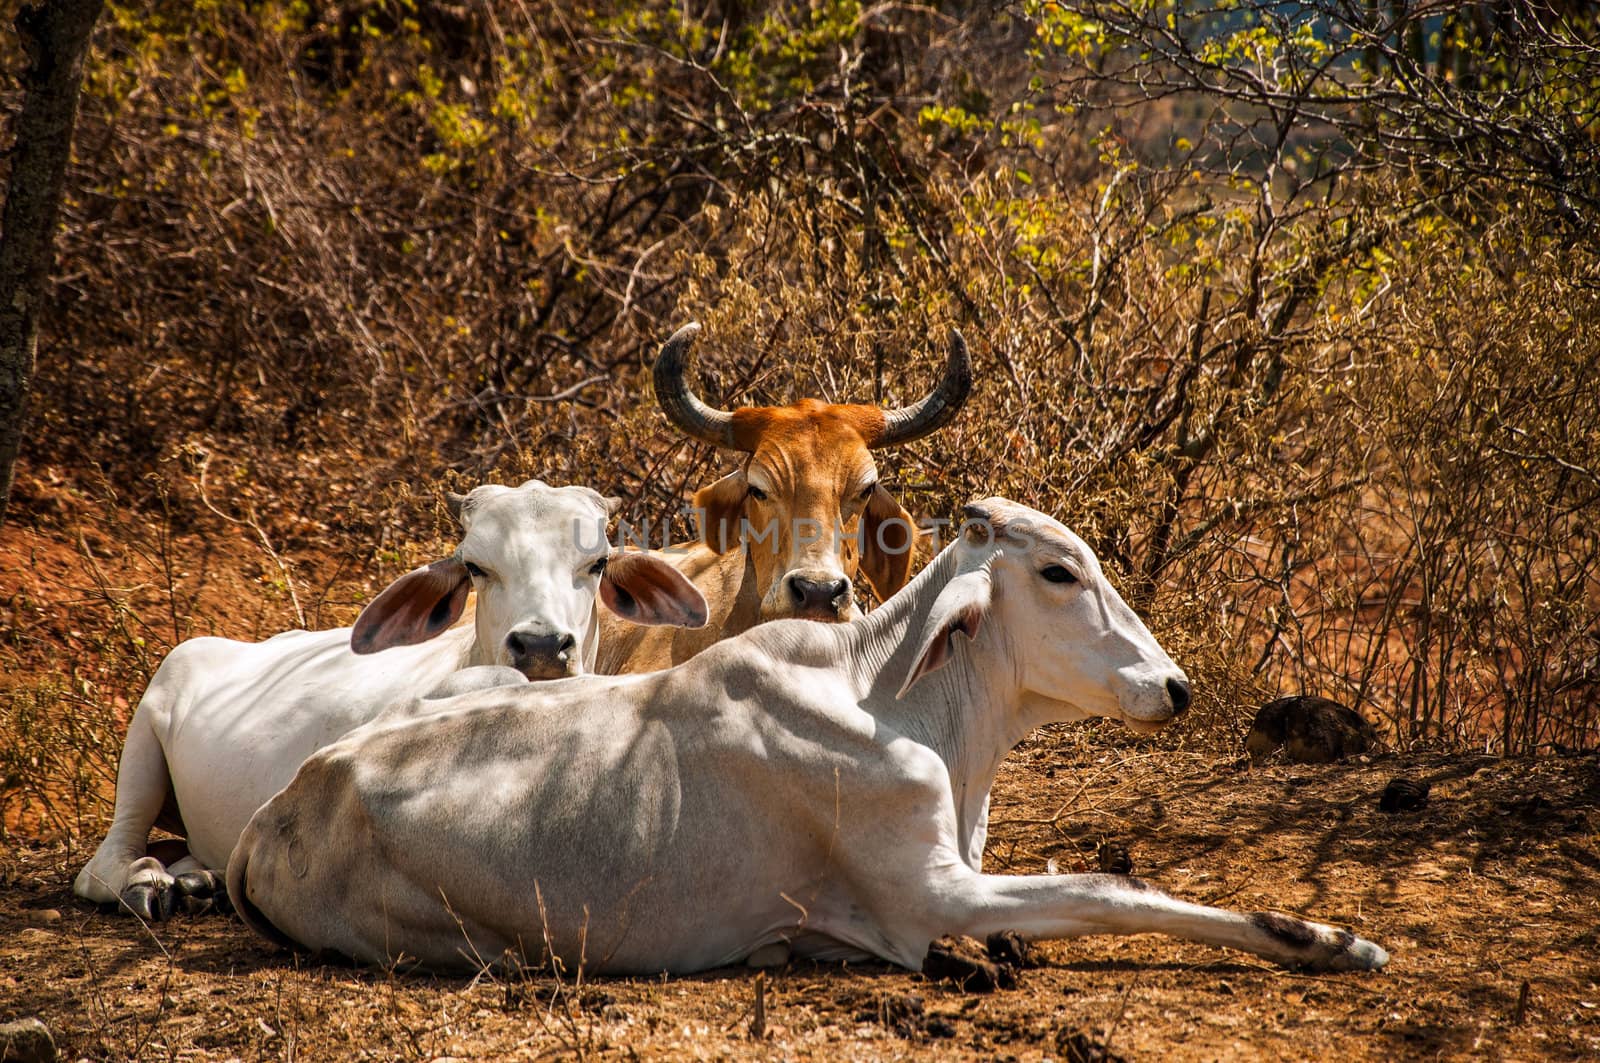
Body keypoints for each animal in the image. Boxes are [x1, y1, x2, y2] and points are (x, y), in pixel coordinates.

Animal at [70, 480, 707, 922]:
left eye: (595, 563)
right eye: (476, 567)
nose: (543, 646)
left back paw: (197, 881)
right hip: (146, 735)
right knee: (102, 865)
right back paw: (148, 885)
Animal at [225, 502, 1388, 973]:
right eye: (1060, 571)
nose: (1174, 686)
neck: (898, 701)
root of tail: (280, 806)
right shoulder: (931, 896)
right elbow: (1113, 889)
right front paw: (1329, 939)